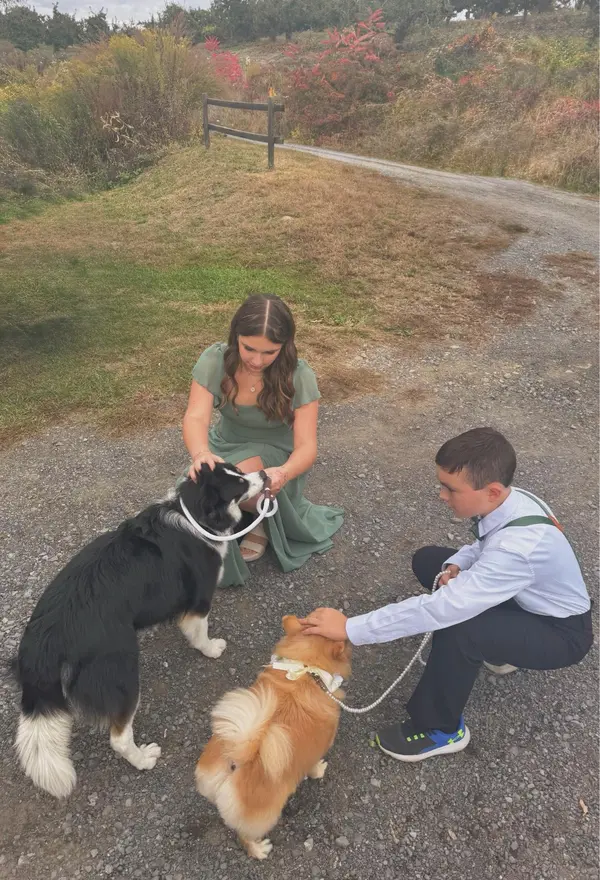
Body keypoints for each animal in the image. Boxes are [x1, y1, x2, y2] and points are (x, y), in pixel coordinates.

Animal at [14, 462, 267, 799]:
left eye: (239, 470)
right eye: (238, 485)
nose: (265, 475)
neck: (193, 513)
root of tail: (46, 641)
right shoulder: (199, 600)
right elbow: (199, 632)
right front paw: (211, 648)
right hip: (123, 672)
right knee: (119, 737)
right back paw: (144, 758)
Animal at [195, 614, 352, 859]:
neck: (306, 669)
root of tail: (236, 762)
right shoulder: (316, 749)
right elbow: (313, 766)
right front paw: (318, 771)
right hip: (266, 815)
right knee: (245, 836)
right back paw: (259, 849)